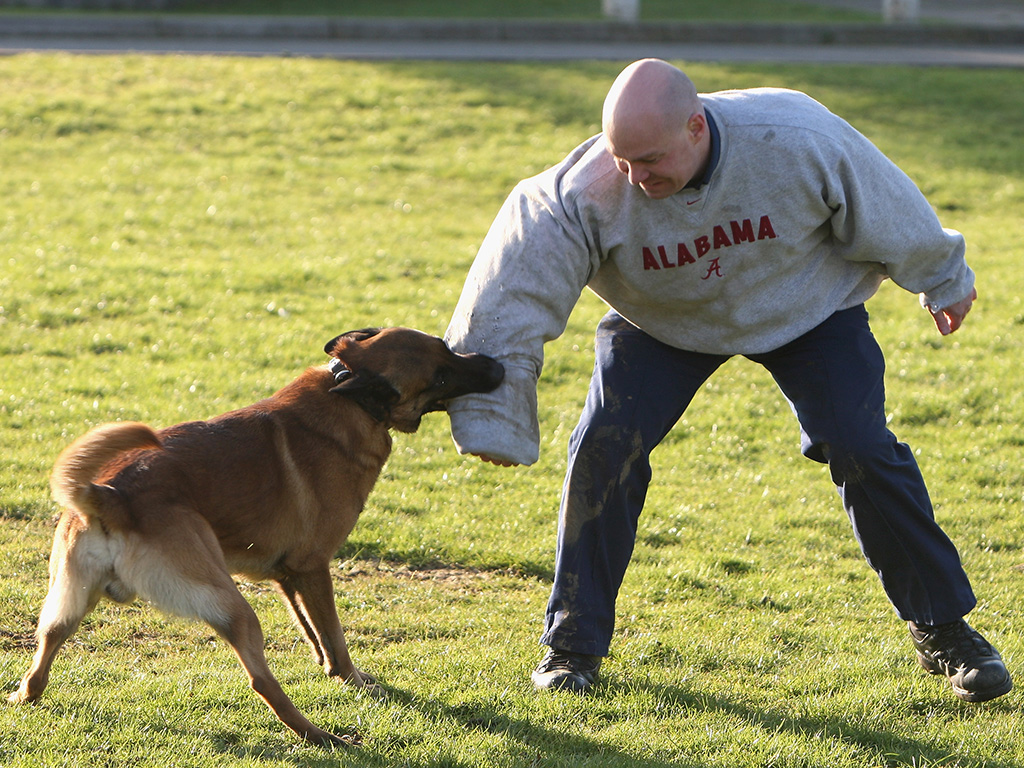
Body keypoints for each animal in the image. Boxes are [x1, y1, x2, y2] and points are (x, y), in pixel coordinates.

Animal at [7, 327, 503, 749]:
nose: (496, 366)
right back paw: (324, 737)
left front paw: (328, 668)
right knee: (262, 681)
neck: (350, 393)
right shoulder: (314, 567)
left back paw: (23, 696)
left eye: (447, 347)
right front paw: (353, 680)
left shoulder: (288, 575)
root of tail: (111, 496)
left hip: (70, 600)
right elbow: (336, 637)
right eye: (441, 374)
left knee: (45, 647)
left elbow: (313, 633)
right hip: (231, 605)